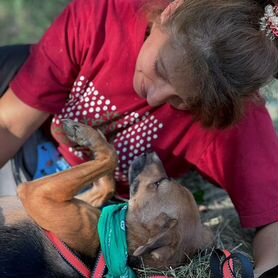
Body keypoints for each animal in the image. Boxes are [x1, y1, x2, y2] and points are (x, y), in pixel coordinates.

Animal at [0, 119, 211, 276]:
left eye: (159, 183)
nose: (151, 151)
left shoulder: (39, 195)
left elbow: (111, 157)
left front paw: (85, 134)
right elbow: (107, 185)